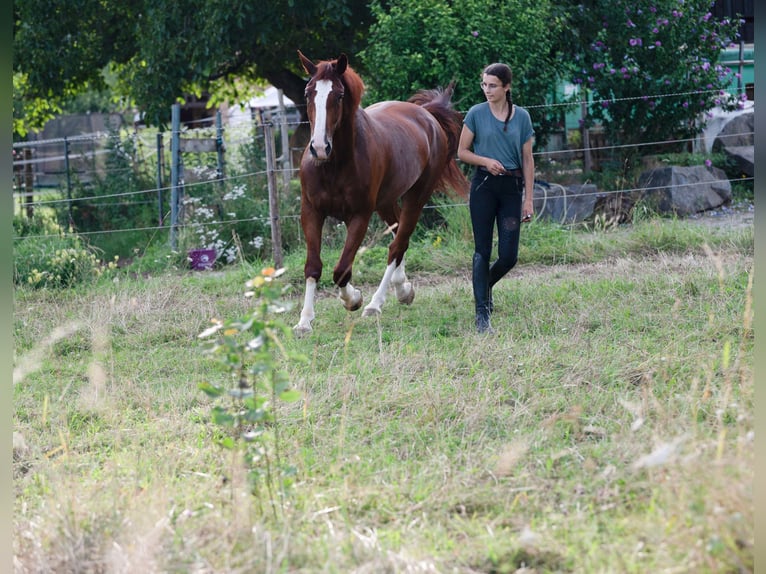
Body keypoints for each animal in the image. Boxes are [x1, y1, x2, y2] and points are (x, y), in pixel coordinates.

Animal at [296, 52, 468, 340]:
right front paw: (304, 321)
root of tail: (427, 115)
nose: (319, 147)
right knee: (399, 237)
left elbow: (341, 270)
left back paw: (376, 303)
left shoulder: (360, 216)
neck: (333, 164)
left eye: (339, 96)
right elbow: (313, 265)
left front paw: (353, 299)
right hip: (387, 202)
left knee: (397, 244)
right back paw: (403, 289)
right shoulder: (311, 211)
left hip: (416, 197)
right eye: (308, 93)